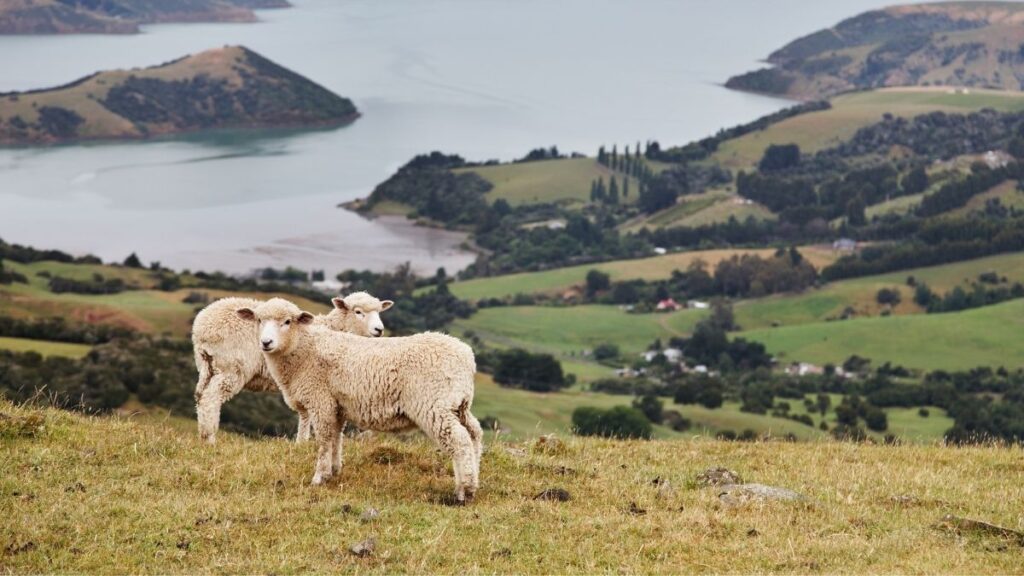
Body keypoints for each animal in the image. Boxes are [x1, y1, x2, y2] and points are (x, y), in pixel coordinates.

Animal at [191, 289, 391, 440]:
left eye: (379, 312)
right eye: (358, 312)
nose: (379, 330)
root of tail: (202, 328)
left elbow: (305, 413)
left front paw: (302, 441)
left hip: (207, 366)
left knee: (200, 397)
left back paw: (202, 436)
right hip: (232, 368)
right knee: (211, 399)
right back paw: (210, 438)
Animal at [235, 295, 483, 502]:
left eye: (287, 322)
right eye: (258, 320)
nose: (266, 342)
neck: (304, 348)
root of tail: (466, 356)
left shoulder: (320, 400)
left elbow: (324, 439)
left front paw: (318, 477)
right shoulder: (337, 405)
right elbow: (336, 437)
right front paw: (333, 471)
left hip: (435, 404)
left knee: (459, 440)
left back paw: (464, 491)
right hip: (459, 403)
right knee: (474, 434)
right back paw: (474, 479)